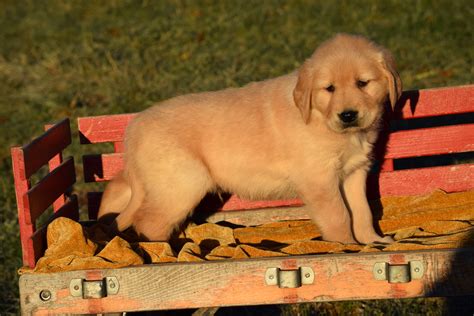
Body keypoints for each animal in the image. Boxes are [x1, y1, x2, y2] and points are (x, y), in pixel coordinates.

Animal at [99, 33, 400, 244]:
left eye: (363, 83)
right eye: (330, 88)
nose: (348, 115)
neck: (318, 117)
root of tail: (134, 127)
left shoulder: (355, 172)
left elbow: (362, 210)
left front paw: (372, 240)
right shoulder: (319, 178)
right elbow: (339, 214)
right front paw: (346, 245)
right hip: (182, 183)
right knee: (148, 223)